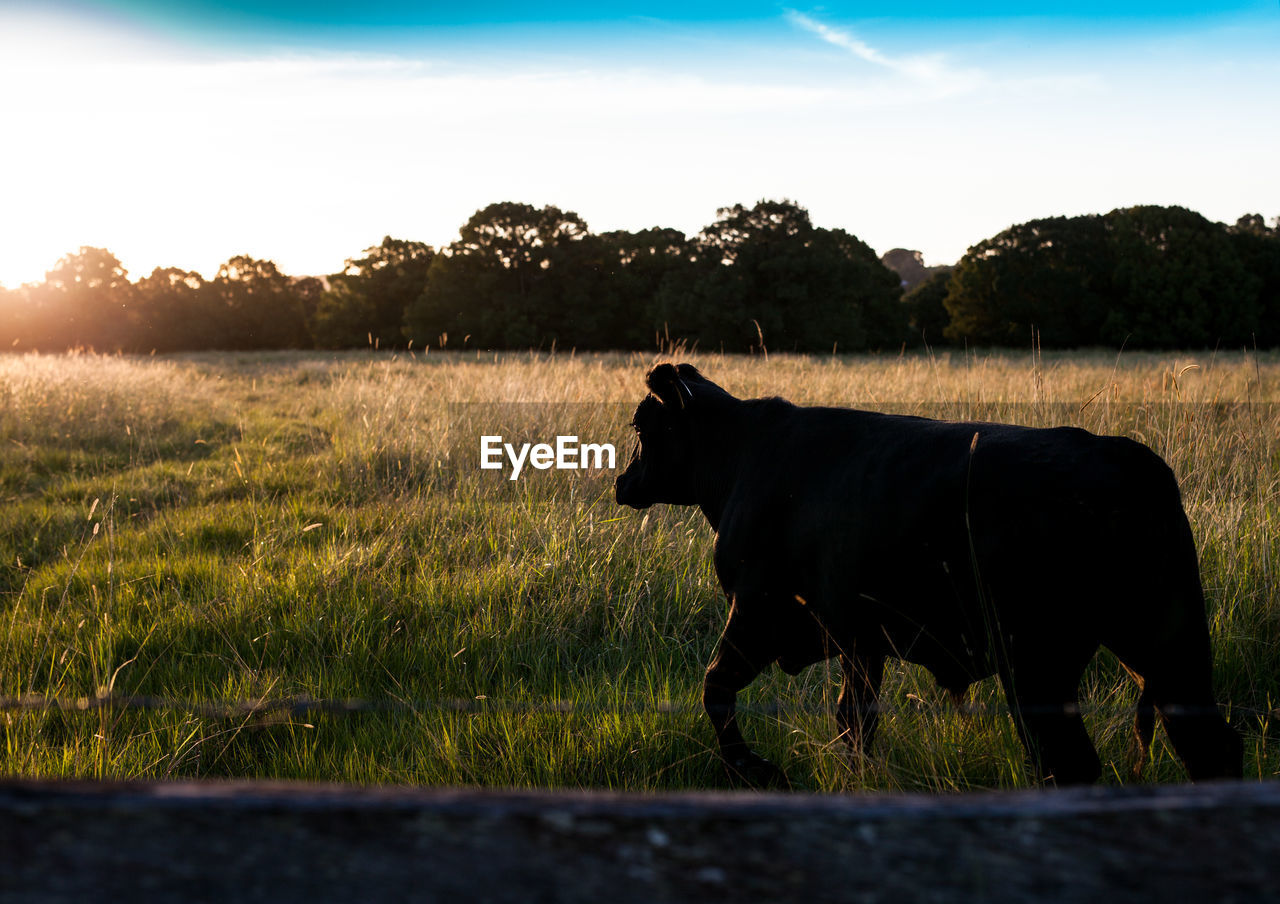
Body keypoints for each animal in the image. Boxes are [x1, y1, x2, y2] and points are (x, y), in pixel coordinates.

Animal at [616, 363, 1239, 783]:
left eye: (643, 428)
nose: (622, 482)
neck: (743, 459)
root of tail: (1123, 457)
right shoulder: (857, 640)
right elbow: (854, 721)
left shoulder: (757, 611)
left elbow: (715, 687)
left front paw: (755, 767)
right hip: (1171, 649)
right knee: (1207, 747)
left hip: (1039, 666)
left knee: (1069, 763)